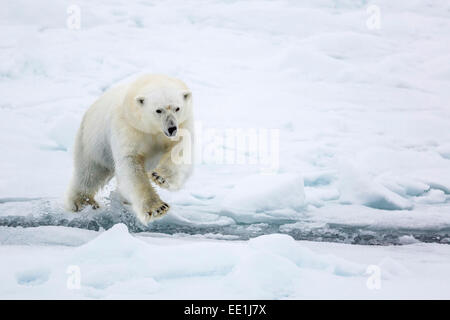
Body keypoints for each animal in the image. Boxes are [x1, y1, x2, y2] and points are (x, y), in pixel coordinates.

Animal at [64, 75, 193, 225]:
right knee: (90, 172)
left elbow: (180, 149)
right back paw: (82, 202)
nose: (171, 128)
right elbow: (130, 164)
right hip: (92, 142)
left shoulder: (183, 124)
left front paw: (159, 177)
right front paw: (157, 208)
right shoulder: (128, 126)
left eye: (177, 108)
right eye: (158, 110)